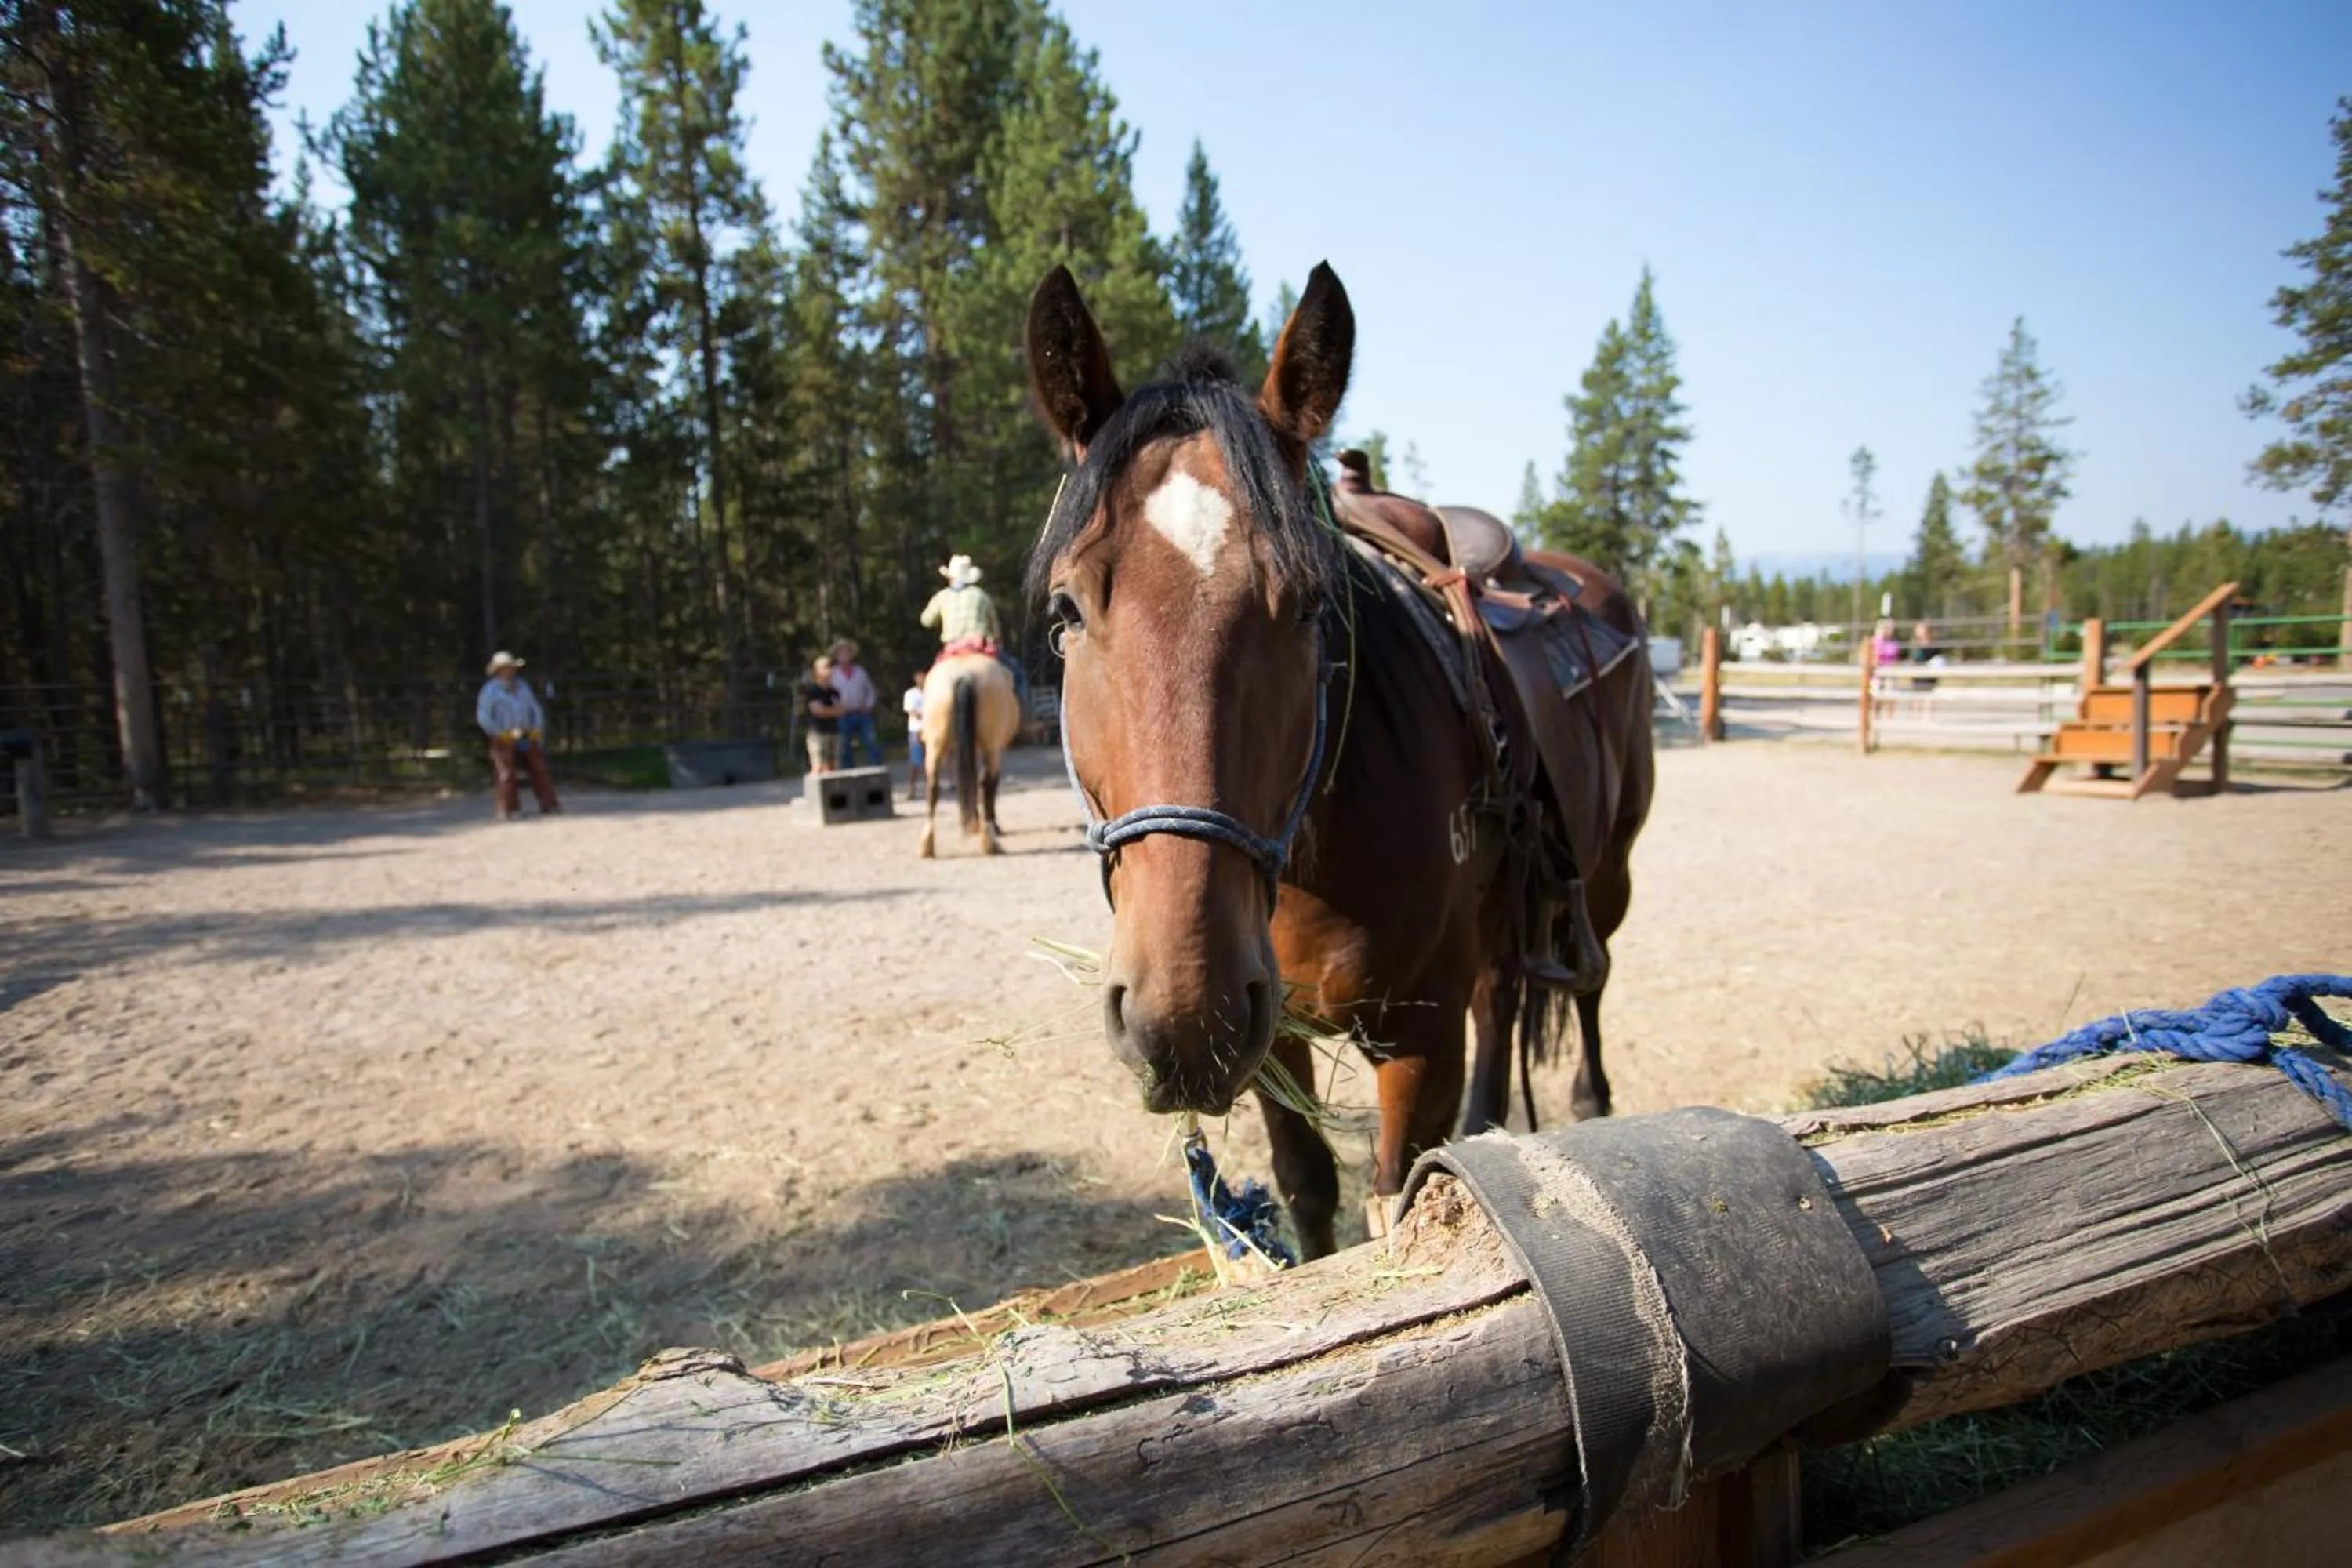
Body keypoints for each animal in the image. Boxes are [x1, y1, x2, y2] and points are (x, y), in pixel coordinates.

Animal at [916, 653, 1023, 858]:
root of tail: (964, 674)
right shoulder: (993, 750)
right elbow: (986, 784)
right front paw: (991, 825)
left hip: (935, 747)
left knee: (932, 788)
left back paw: (927, 845)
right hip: (991, 748)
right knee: (986, 784)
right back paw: (990, 840)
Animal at [1023, 261, 1654, 1259]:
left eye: (1310, 606)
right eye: (1067, 610)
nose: (1182, 1007)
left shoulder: (1419, 1039)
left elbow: (1398, 1197)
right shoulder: (1268, 1034)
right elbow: (1308, 1189)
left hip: (1605, 870)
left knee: (1588, 981)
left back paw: (1593, 1100)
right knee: (1504, 996)